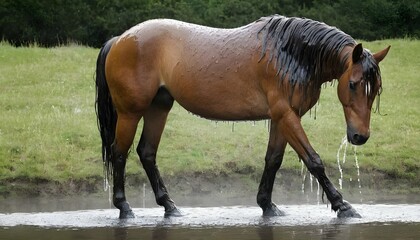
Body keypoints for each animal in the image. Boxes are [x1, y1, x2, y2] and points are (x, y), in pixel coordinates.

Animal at [95, 14, 390, 218]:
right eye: (353, 84)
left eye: (375, 89)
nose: (360, 136)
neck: (288, 52)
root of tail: (120, 39)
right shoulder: (286, 115)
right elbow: (313, 160)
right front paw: (342, 205)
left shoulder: (282, 117)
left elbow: (273, 160)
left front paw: (267, 205)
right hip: (130, 113)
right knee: (119, 152)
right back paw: (124, 207)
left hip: (159, 107)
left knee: (146, 152)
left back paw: (169, 206)